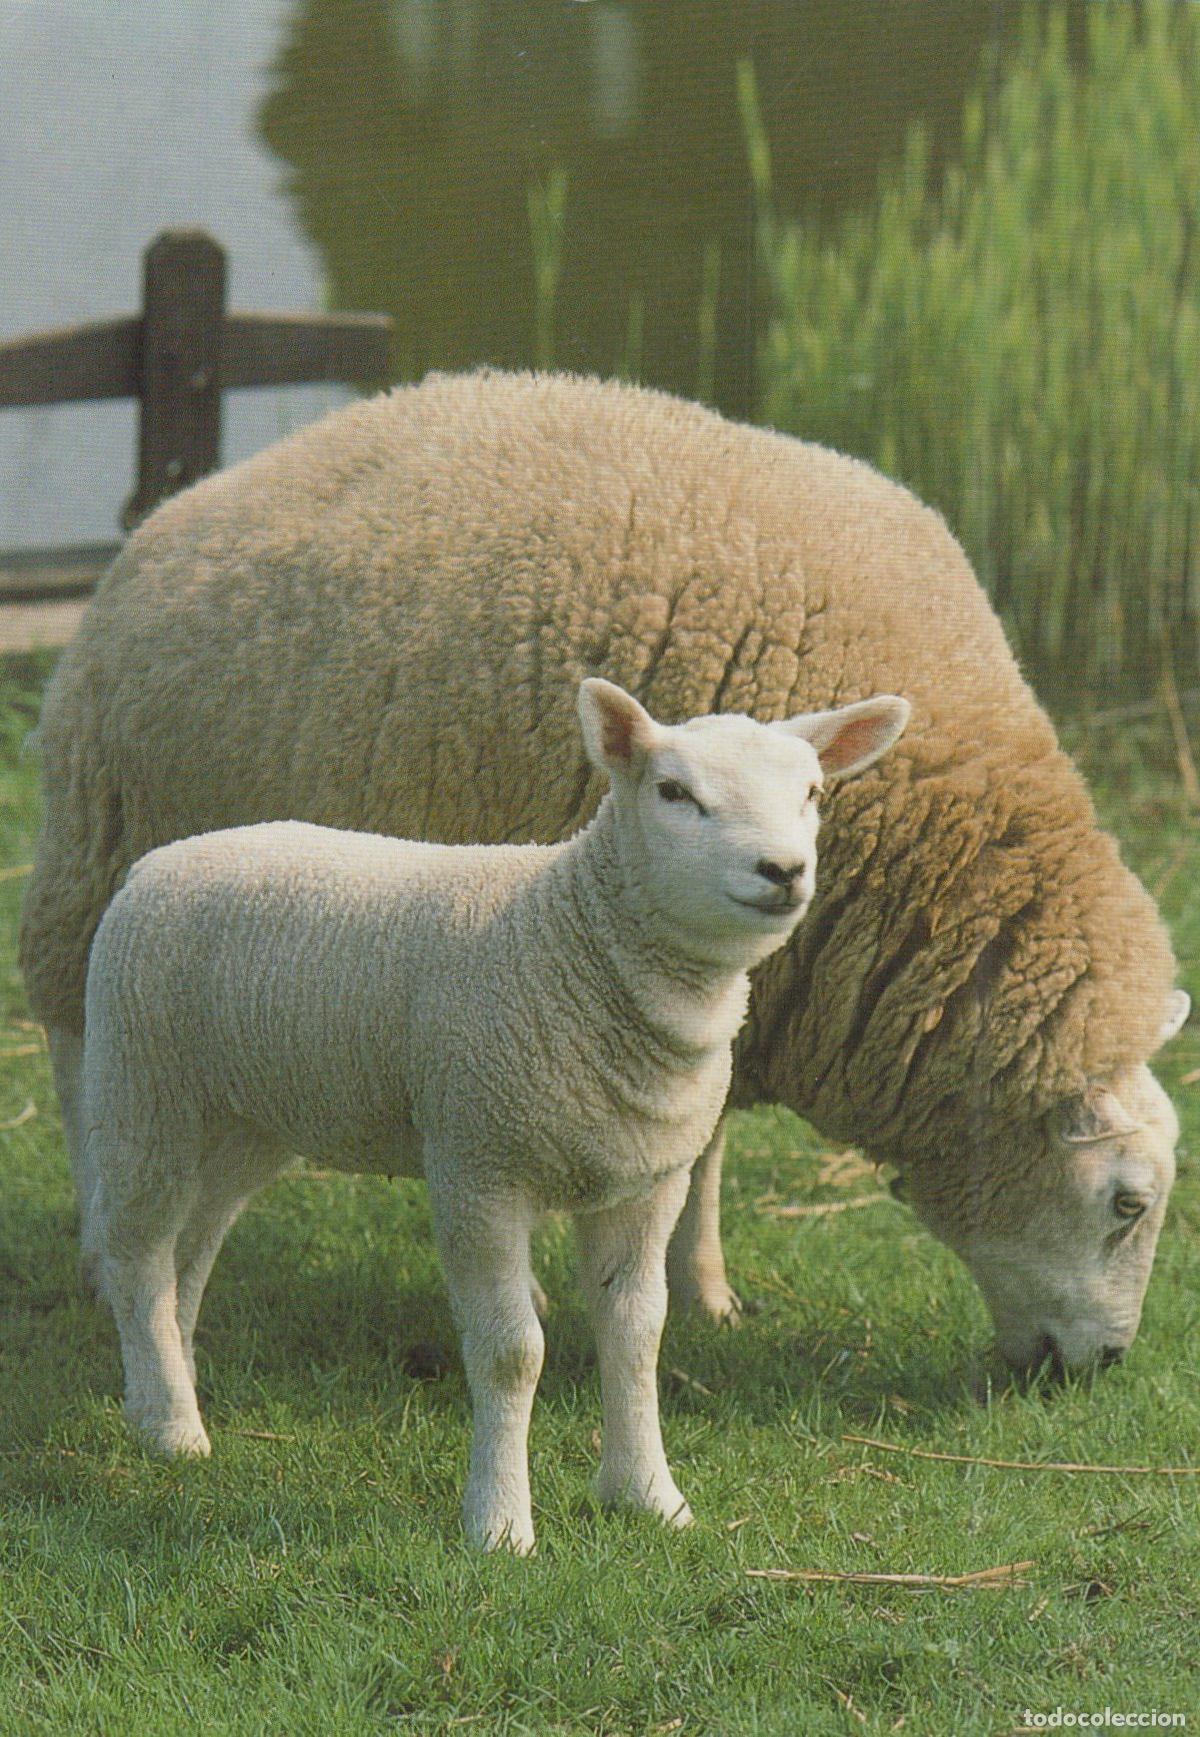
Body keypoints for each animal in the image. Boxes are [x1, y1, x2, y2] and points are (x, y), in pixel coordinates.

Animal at [22, 369, 1190, 1377]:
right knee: (80, 1061)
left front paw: (704, 1290)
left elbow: (702, 1145)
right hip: (97, 859)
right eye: (1128, 1203)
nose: (1099, 1367)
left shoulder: (727, 994)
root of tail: (184, 508)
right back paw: (98, 1249)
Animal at [79, 677, 909, 1552]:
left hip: (246, 1119)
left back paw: (170, 1379)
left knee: (193, 1243)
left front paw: (648, 1494)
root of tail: (161, 859)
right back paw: (169, 1425)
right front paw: (500, 1524)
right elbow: (513, 1352)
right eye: (674, 792)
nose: (783, 869)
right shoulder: (479, 1167)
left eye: (813, 792)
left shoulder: (646, 1181)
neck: (578, 943)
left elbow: (637, 1335)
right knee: (137, 1251)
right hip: (145, 1087)